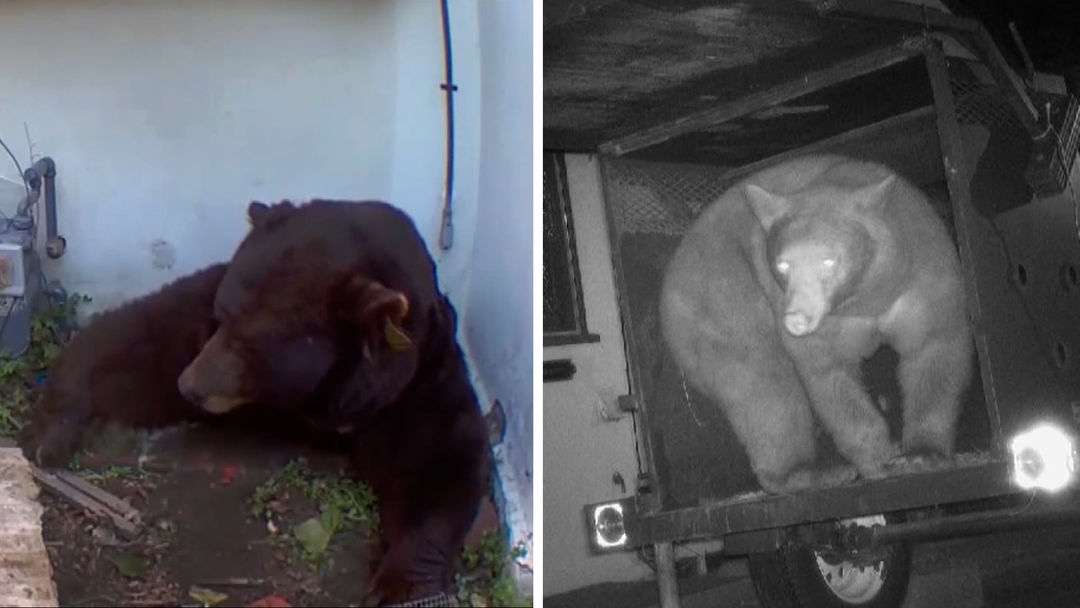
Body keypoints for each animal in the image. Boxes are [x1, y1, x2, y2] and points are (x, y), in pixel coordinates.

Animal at [176, 199, 492, 605]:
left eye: (247, 343)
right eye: (220, 316)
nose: (189, 386)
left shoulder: (416, 384)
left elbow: (442, 462)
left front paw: (399, 584)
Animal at [660, 154, 973, 494]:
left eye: (829, 261)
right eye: (783, 265)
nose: (796, 318)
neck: (863, 299)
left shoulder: (920, 276)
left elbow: (933, 349)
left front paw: (920, 455)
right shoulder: (823, 326)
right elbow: (829, 377)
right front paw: (877, 461)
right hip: (721, 295)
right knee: (762, 382)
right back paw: (812, 473)